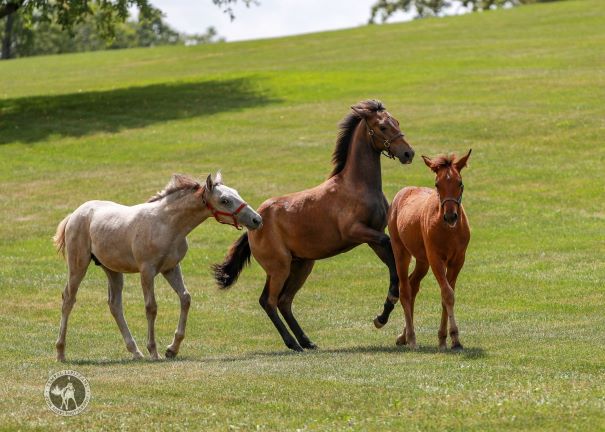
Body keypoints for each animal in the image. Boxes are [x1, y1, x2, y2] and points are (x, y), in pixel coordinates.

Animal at [52, 172, 260, 362]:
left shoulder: (171, 268)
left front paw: (172, 349)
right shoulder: (147, 271)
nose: (257, 220)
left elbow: (185, 298)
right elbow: (151, 307)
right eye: (225, 200)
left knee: (114, 304)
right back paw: (61, 352)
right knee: (68, 299)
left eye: (237, 193)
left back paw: (135, 352)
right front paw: (154, 351)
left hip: (112, 269)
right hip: (78, 265)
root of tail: (74, 214)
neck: (168, 224)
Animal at [212, 100, 416, 352]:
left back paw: (306, 341)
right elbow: (390, 253)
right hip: (280, 267)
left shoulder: (373, 237)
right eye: (383, 127)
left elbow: (390, 259)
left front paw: (383, 314)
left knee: (284, 301)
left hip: (301, 265)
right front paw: (385, 310)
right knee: (268, 301)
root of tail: (255, 223)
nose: (408, 153)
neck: (356, 186)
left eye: (396, 121)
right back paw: (293, 343)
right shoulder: (357, 232)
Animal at [386, 150, 472, 350]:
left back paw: (403, 335)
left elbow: (447, 294)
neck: (449, 231)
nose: (450, 216)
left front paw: (444, 338)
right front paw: (453, 337)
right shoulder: (435, 259)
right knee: (405, 290)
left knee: (413, 285)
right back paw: (411, 338)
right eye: (437, 184)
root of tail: (402, 192)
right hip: (401, 252)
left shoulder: (458, 260)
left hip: (422, 260)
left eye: (459, 183)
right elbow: (447, 294)